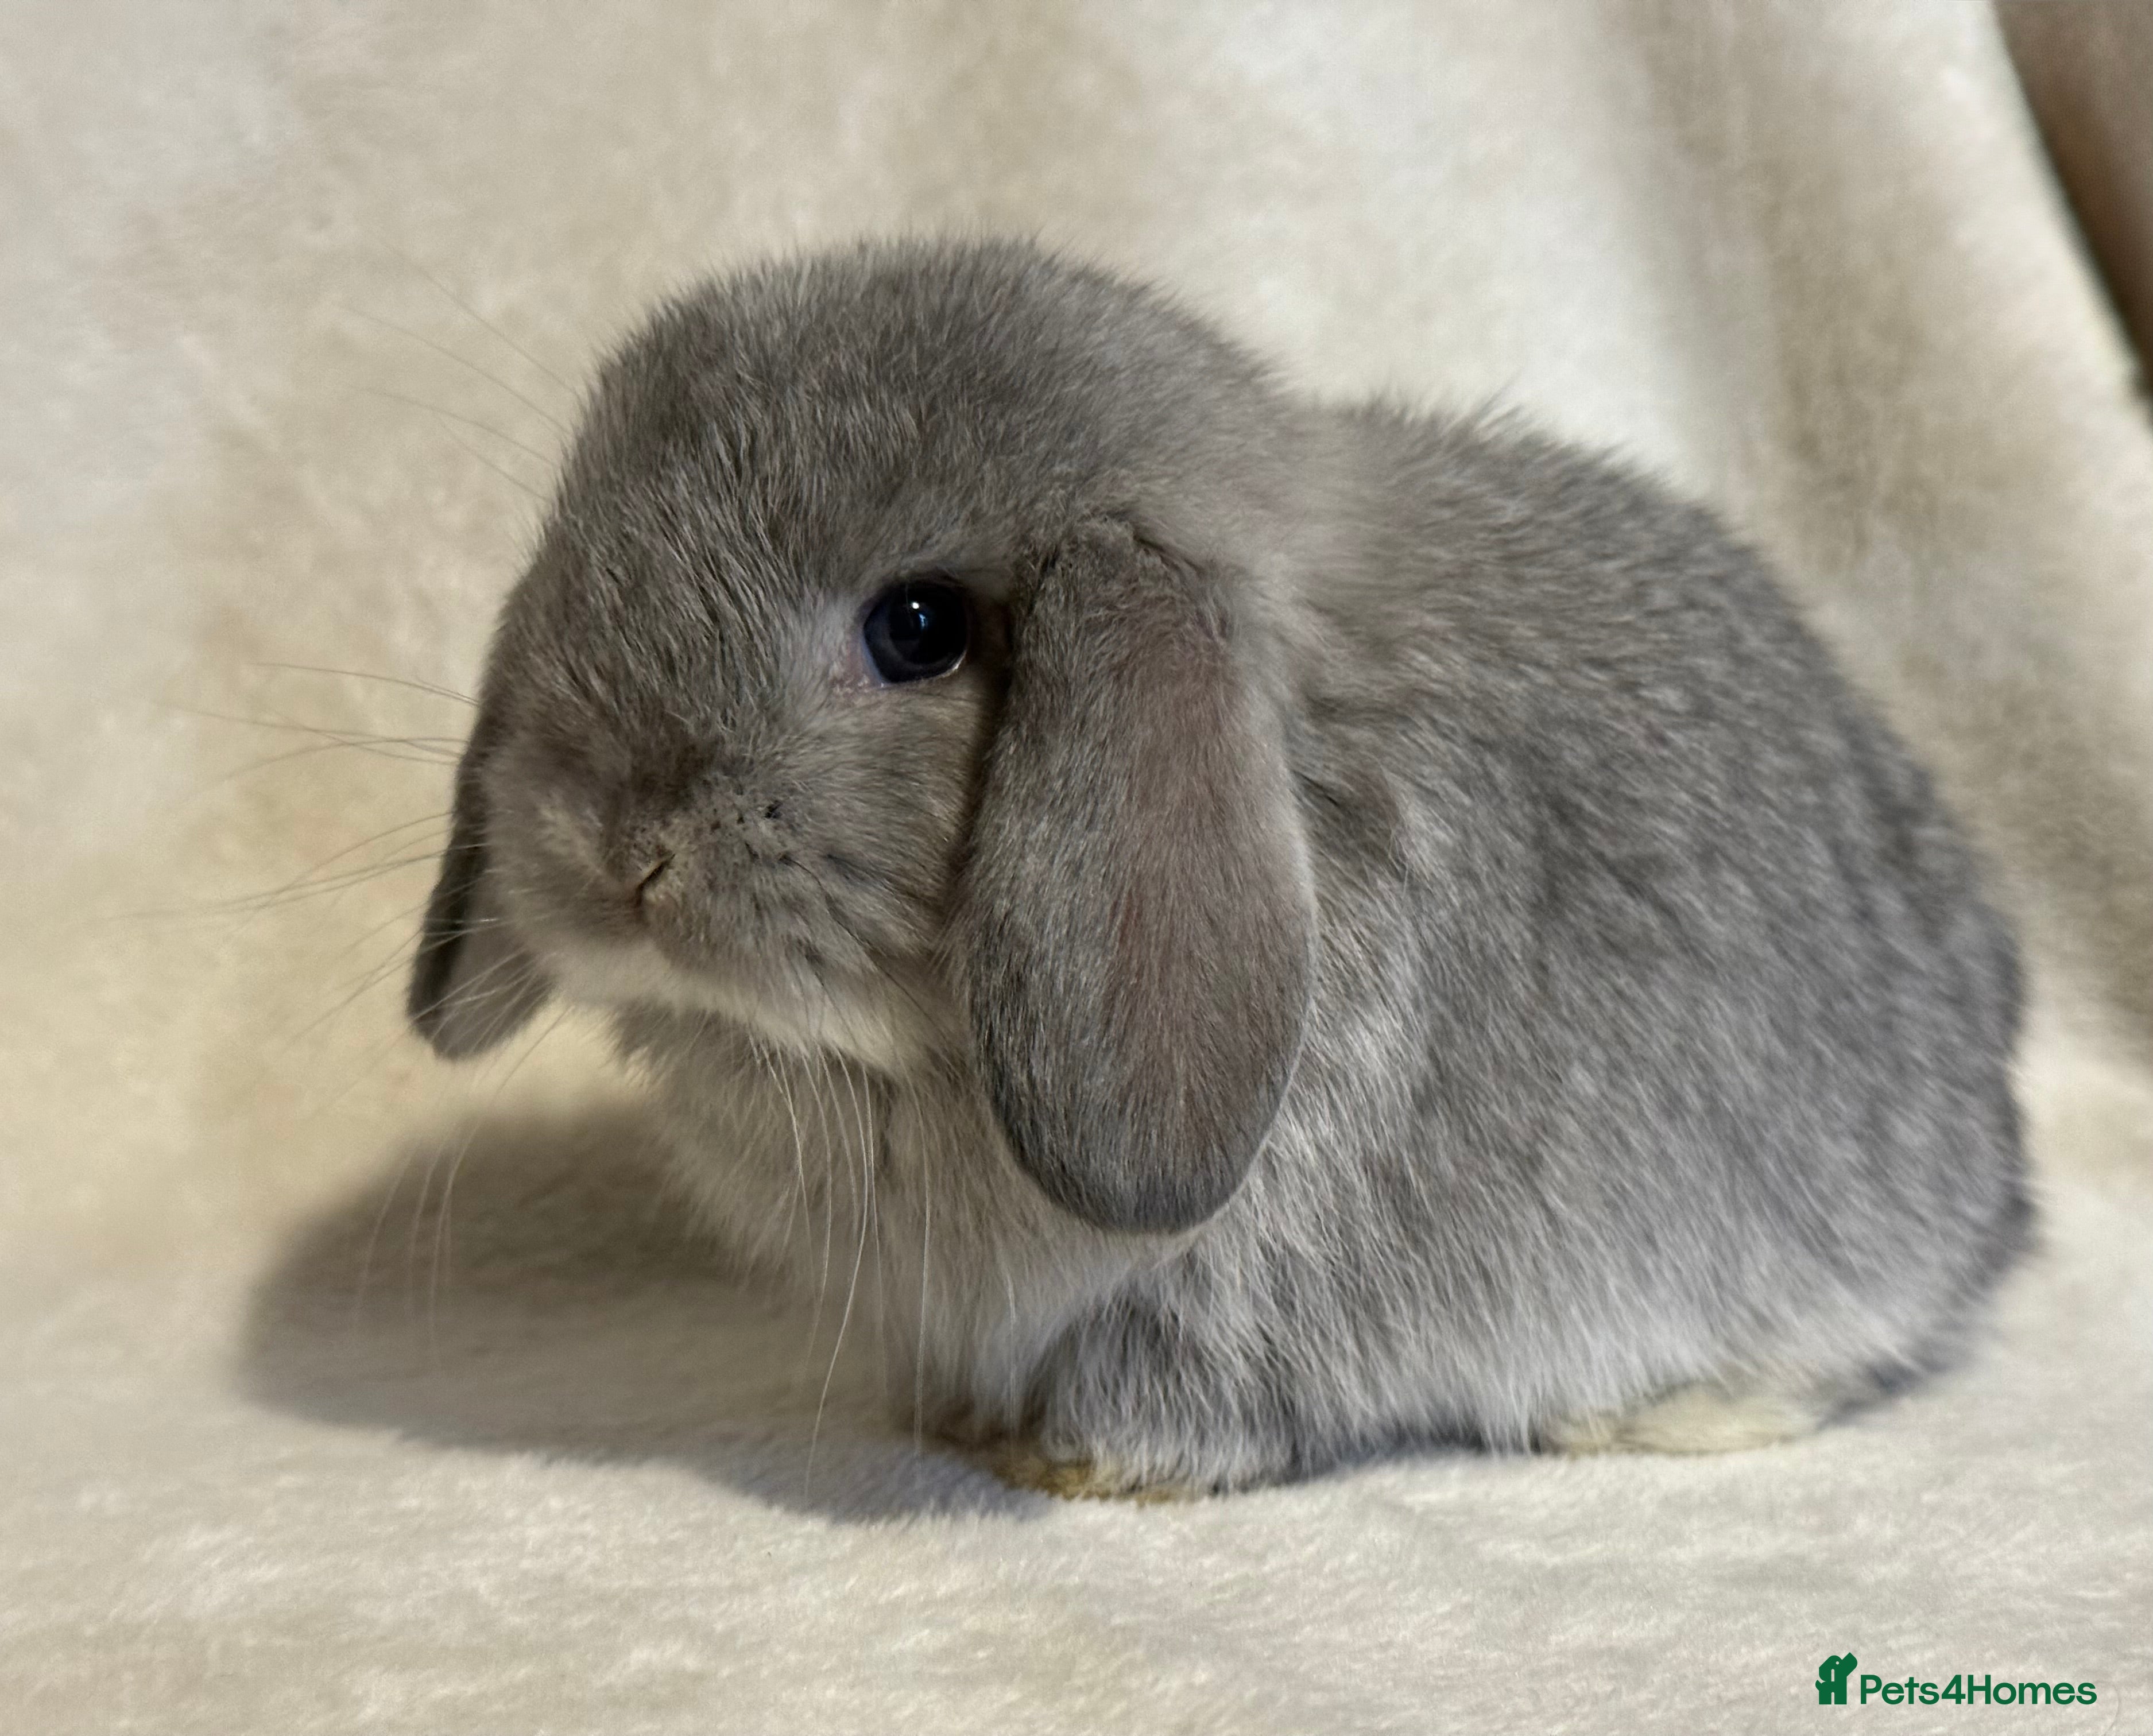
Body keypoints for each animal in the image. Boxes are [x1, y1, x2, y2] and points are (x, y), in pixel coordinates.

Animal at [407, 236, 2029, 1497]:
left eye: (918, 630)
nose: (616, 846)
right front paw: (957, 1422)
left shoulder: (1223, 1301)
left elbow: (1189, 1403)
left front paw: (1075, 1463)